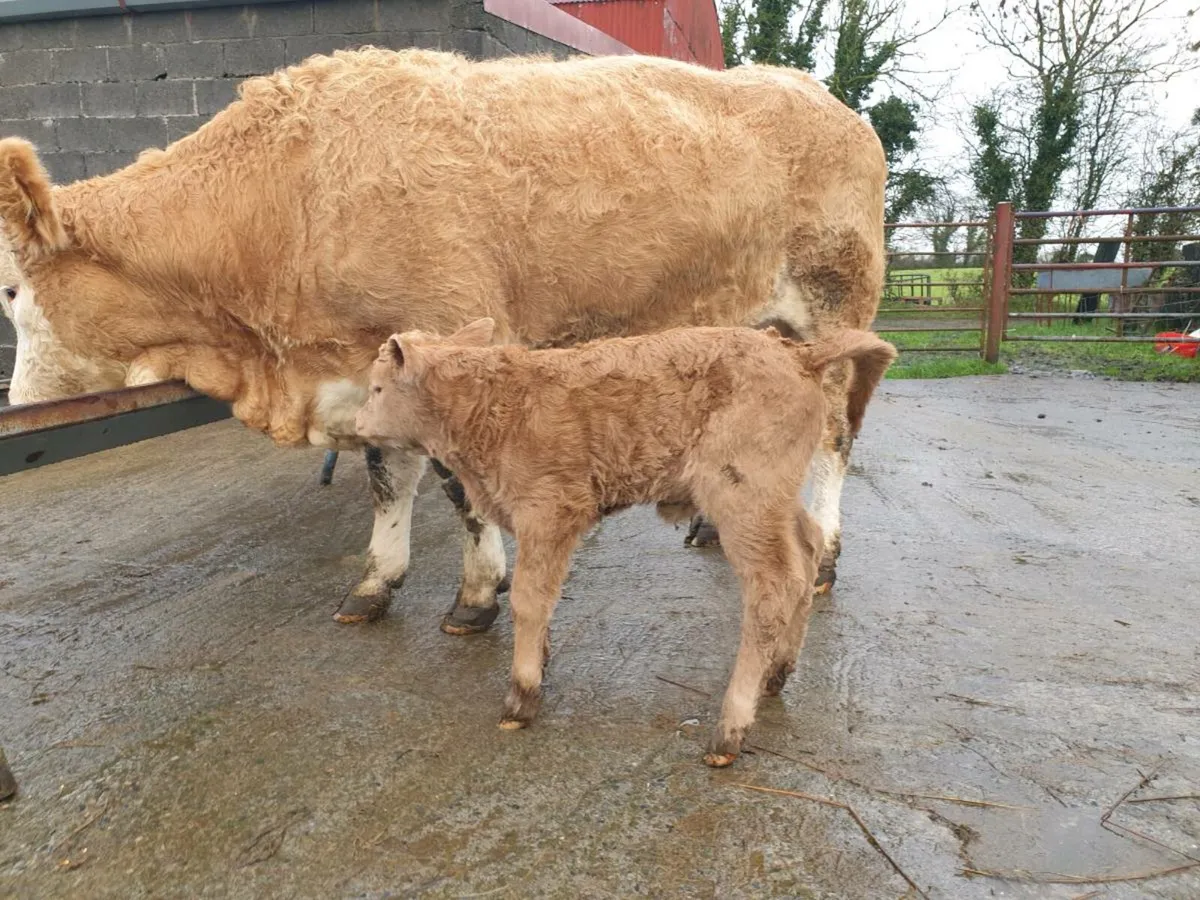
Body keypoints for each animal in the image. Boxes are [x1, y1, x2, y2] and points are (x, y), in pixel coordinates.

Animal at [0, 47, 886, 632]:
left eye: (10, 289)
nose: (19, 407)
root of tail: (816, 93)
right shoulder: (362, 366)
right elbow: (387, 475)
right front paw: (377, 582)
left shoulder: (450, 336)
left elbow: (459, 484)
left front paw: (478, 594)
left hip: (836, 302)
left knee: (835, 437)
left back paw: (826, 557)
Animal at [354, 319, 897, 765]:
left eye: (376, 387)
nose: (357, 427)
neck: (491, 404)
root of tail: (797, 353)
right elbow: (543, 600)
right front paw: (541, 661)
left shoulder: (550, 511)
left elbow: (530, 599)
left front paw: (522, 694)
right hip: (772, 499)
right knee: (807, 551)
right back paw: (778, 672)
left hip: (743, 498)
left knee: (773, 588)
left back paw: (730, 728)